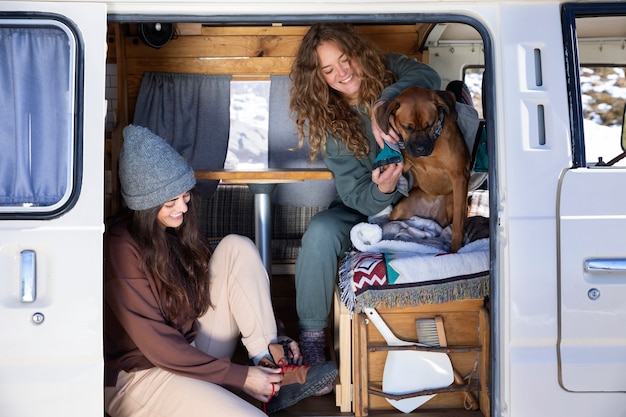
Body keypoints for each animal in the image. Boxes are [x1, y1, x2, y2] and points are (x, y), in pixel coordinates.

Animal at [376, 86, 468, 252]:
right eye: (407, 127)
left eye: (429, 125)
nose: (420, 149)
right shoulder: (406, 163)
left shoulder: (459, 177)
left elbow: (458, 224)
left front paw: (455, 247)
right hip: (400, 210)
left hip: (451, 201)